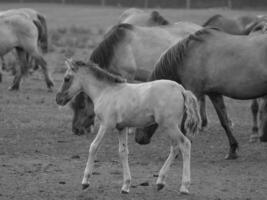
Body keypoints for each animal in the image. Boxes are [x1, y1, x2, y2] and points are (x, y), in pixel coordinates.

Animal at [57, 59, 203, 194]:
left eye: (67, 78)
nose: (58, 99)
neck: (106, 91)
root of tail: (181, 89)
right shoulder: (121, 127)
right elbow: (123, 152)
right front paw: (126, 186)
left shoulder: (106, 125)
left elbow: (93, 147)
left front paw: (85, 181)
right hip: (171, 126)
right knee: (175, 147)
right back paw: (160, 182)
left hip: (169, 125)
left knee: (185, 144)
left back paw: (184, 187)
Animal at [70, 21, 202, 135]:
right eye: (73, 106)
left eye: (81, 106)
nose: (76, 129)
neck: (118, 46)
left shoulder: (128, 77)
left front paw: (130, 128)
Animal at [136, 27, 267, 159]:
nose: (138, 139)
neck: (188, 56)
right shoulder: (214, 94)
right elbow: (224, 121)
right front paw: (232, 149)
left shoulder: (194, 92)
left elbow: (184, 126)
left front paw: (179, 151)